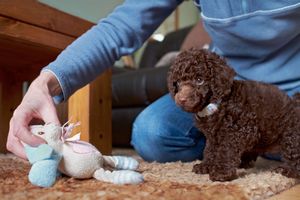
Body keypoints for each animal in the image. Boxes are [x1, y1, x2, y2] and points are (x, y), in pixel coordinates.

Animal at [168, 48, 298, 181]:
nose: (182, 99)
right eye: (178, 82)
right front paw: (206, 166)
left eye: (200, 80)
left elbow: (226, 151)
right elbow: (210, 150)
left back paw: (287, 170)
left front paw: (221, 172)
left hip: (291, 136)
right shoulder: (213, 136)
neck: (215, 105)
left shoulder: (236, 132)